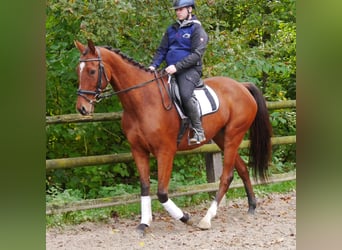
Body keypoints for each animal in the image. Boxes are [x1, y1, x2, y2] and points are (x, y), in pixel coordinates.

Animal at [75, 39, 272, 232]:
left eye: (92, 71)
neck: (143, 101)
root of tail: (242, 86)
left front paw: (185, 218)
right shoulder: (138, 151)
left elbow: (162, 193)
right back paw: (251, 206)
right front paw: (144, 223)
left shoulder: (165, 152)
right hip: (221, 137)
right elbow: (145, 187)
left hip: (233, 135)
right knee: (242, 168)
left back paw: (206, 219)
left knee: (226, 176)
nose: (82, 108)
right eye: (78, 71)